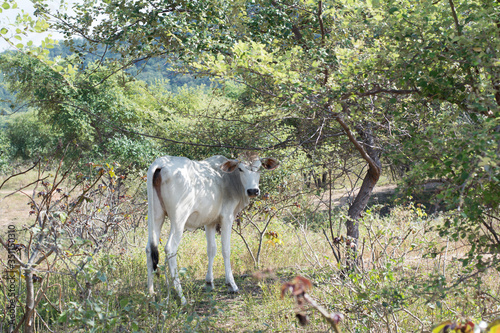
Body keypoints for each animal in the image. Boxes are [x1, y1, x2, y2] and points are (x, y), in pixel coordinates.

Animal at [145, 153, 280, 304]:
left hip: (156, 216)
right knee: (170, 249)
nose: (253, 191)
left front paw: (209, 282)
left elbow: (211, 250)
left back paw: (151, 295)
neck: (229, 179)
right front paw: (231, 284)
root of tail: (161, 163)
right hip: (179, 218)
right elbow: (225, 250)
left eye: (259, 168)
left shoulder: (209, 222)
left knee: (150, 248)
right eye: (240, 169)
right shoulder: (227, 217)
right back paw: (181, 297)